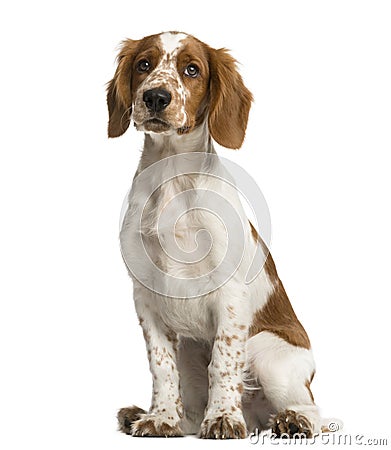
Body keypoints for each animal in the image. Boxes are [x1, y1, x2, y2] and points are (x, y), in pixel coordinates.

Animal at [108, 29, 334, 438]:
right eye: (144, 64)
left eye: (192, 70)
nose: (155, 97)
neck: (173, 178)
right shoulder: (145, 296)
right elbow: (161, 366)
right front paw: (159, 418)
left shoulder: (229, 296)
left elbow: (224, 362)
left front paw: (225, 418)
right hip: (190, 348)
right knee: (191, 407)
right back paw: (150, 416)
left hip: (268, 354)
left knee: (315, 410)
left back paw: (291, 420)